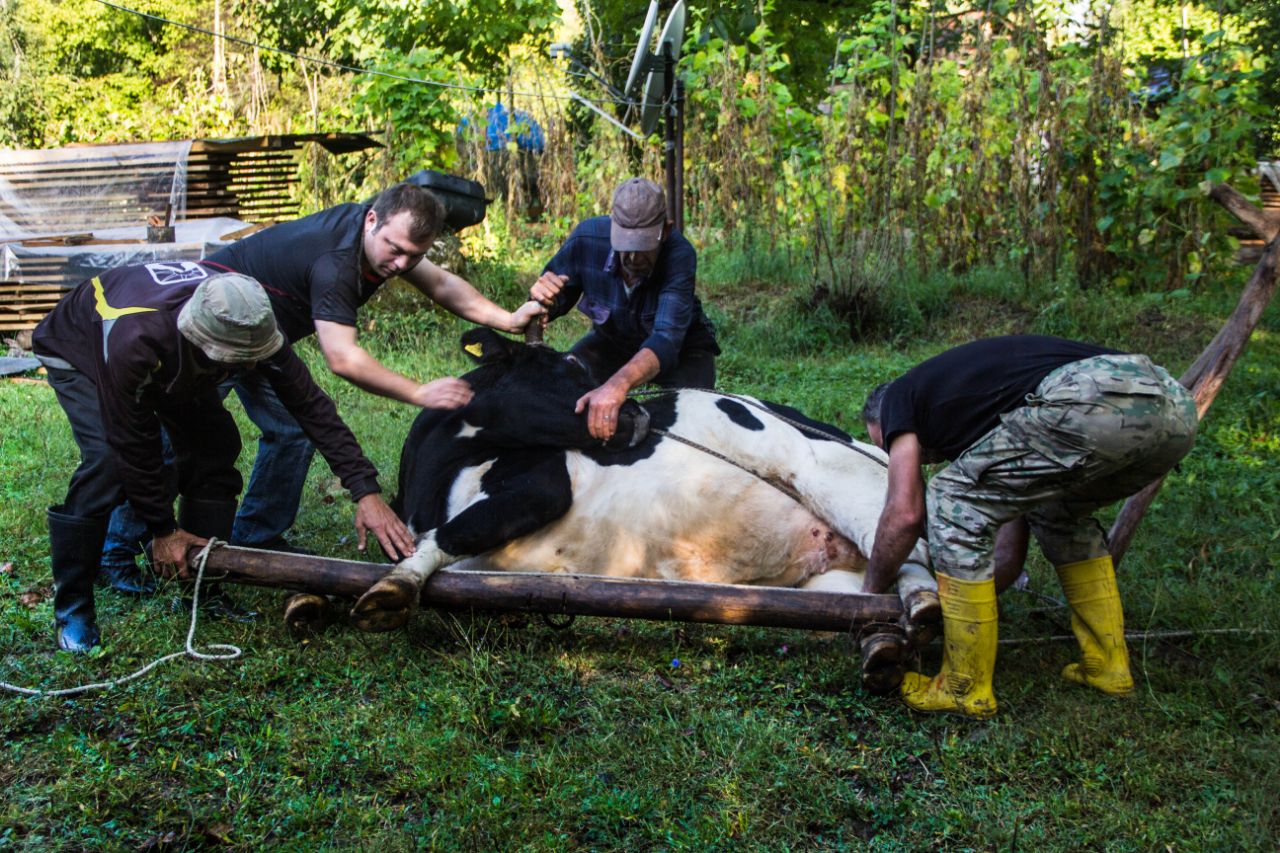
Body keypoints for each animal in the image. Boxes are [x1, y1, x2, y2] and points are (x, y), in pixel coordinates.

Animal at [350, 327, 942, 666]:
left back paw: (922, 612)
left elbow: (445, 536)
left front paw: (393, 587)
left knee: (915, 559)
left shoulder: (543, 485)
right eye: (567, 368)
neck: (431, 471)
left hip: (840, 482)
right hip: (828, 573)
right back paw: (878, 639)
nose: (632, 412)